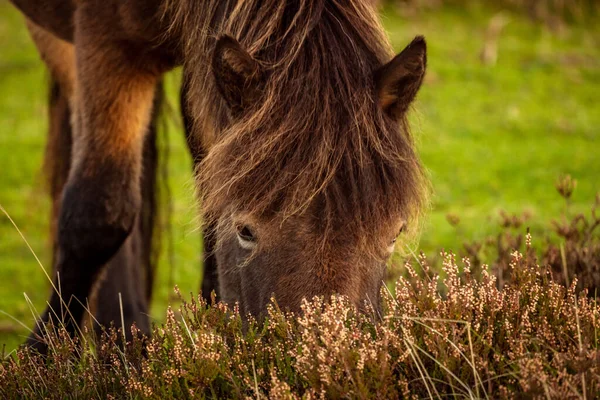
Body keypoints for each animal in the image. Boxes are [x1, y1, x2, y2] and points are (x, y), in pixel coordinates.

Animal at [11, 0, 428, 354]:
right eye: (245, 231)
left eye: (395, 234)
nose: (318, 356)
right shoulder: (105, 41)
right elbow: (98, 216)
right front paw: (44, 356)